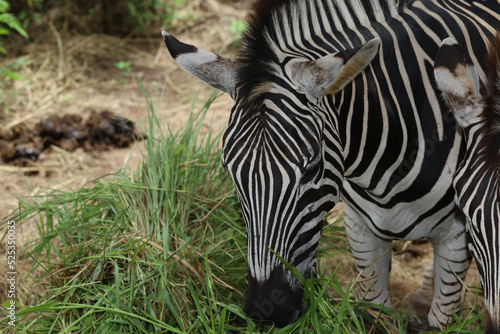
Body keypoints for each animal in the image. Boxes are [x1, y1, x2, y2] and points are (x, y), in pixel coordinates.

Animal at [160, 0, 500, 328]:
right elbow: (375, 314)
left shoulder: (457, 236)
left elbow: (443, 316)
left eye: (311, 169)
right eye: (230, 172)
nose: (266, 310)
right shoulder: (359, 228)